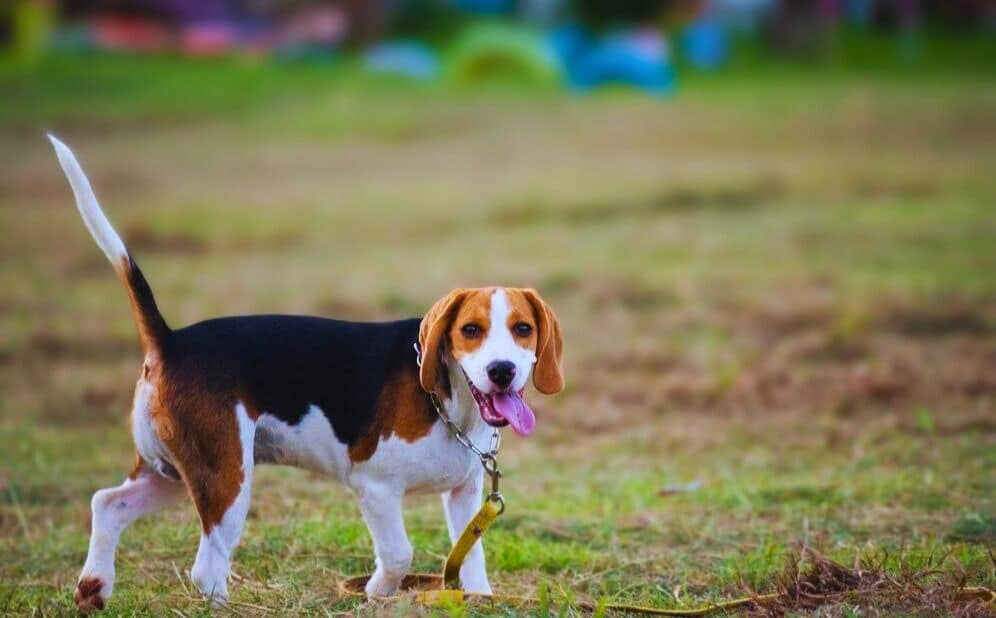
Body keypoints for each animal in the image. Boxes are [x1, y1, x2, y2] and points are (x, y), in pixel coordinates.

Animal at [46, 137, 564, 608]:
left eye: (522, 329)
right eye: (470, 330)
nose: (502, 371)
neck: (449, 402)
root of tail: (171, 340)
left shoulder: (463, 495)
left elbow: (471, 562)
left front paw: (475, 599)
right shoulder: (375, 487)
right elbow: (399, 553)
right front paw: (378, 593)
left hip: (173, 469)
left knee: (107, 503)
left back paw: (94, 587)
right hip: (226, 476)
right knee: (206, 567)